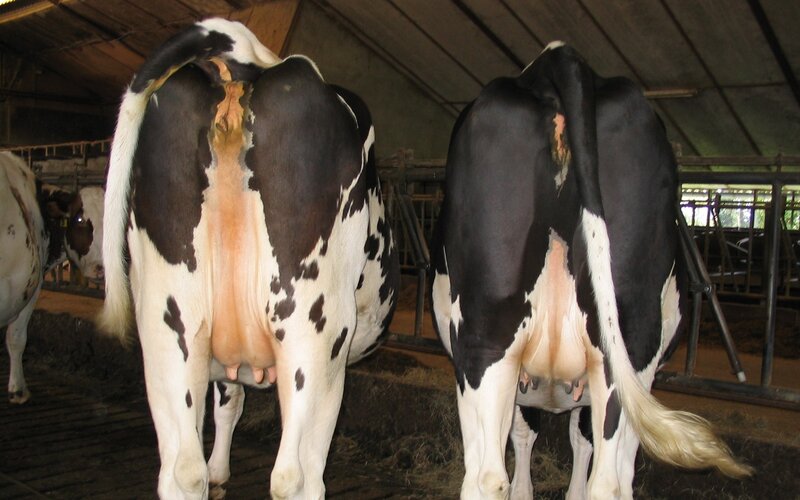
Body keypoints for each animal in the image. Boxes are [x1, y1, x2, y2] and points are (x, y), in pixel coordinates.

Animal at [1, 152, 100, 403]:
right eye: (79, 220)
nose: (100, 268)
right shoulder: (30, 286)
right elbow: (17, 338)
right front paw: (19, 389)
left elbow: (14, 338)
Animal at [98, 18, 398, 499]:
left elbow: (227, 402)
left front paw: (220, 469)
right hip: (315, 331)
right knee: (294, 475)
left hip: (170, 322)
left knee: (182, 468)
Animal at [430, 42, 751, 500]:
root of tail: (560, 58)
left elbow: (544, 437)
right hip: (623, 345)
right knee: (606, 480)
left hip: (487, 341)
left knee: (490, 477)